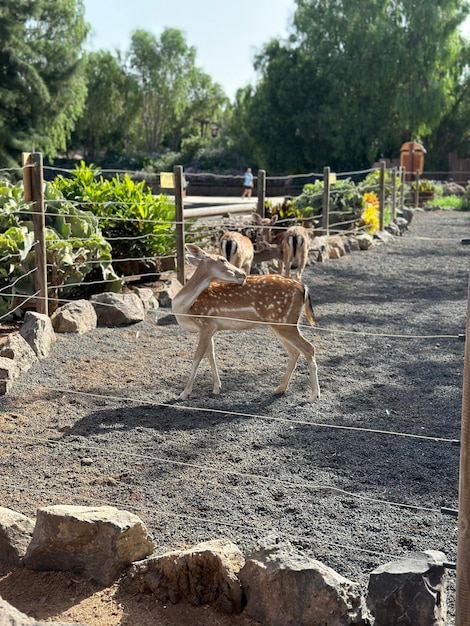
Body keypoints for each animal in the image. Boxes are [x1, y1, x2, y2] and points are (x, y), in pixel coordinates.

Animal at [171, 241, 322, 402]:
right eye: (222, 260)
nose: (242, 274)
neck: (184, 309)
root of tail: (303, 288)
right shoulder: (210, 328)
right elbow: (211, 356)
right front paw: (217, 388)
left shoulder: (206, 323)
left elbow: (197, 358)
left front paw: (184, 393)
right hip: (280, 324)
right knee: (295, 352)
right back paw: (280, 389)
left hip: (285, 322)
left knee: (309, 348)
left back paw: (314, 395)